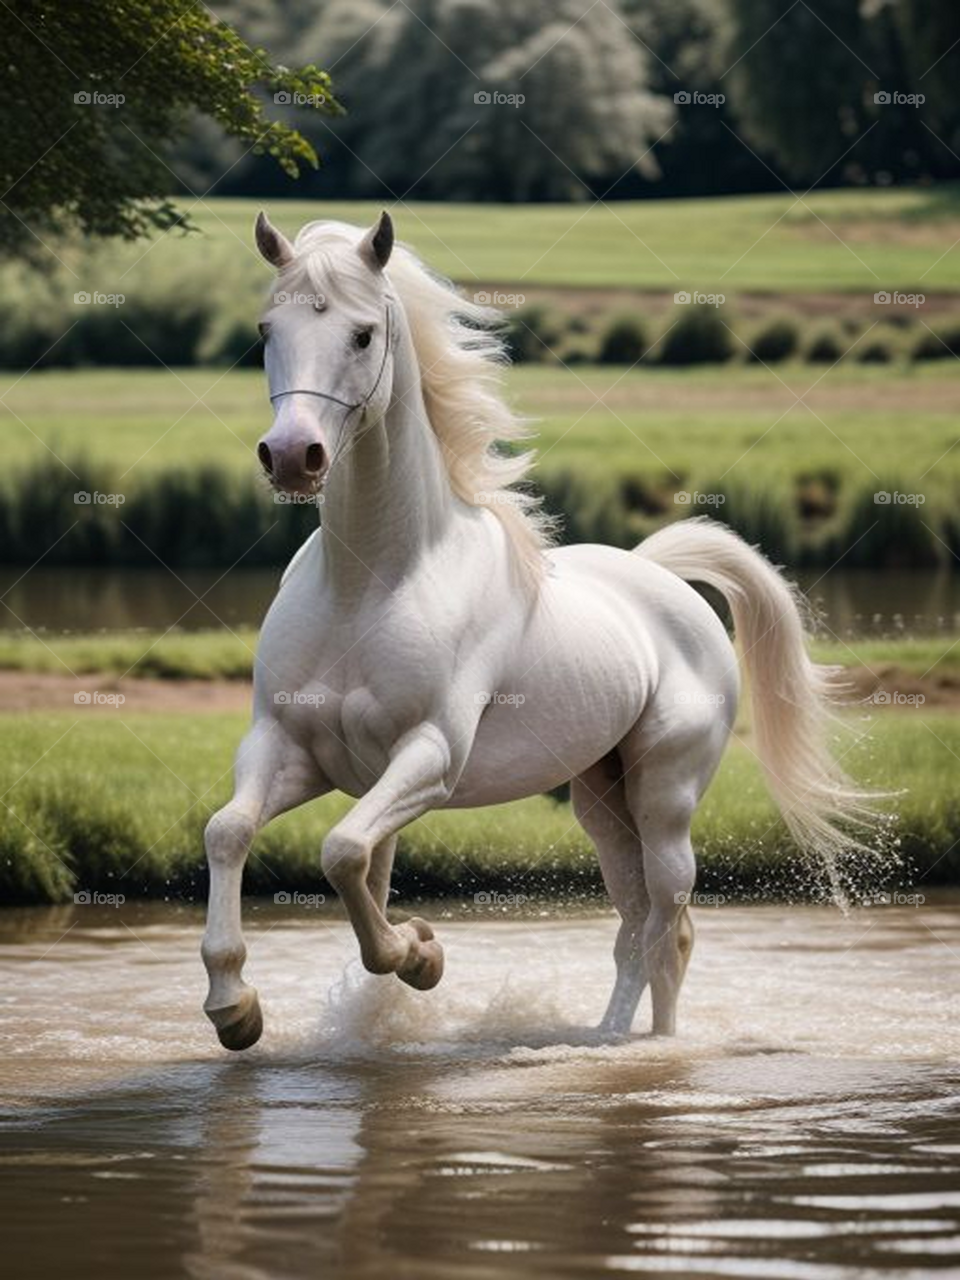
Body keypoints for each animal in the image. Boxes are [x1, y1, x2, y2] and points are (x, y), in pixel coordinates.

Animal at [200, 210, 875, 1051]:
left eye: (361, 334)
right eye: (268, 329)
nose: (293, 456)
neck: (367, 585)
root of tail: (662, 579)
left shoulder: (430, 757)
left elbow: (345, 851)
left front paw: (421, 953)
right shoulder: (289, 748)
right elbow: (232, 833)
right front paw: (235, 1006)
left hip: (665, 799)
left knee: (669, 930)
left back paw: (644, 1046)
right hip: (601, 800)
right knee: (634, 925)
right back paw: (601, 1037)